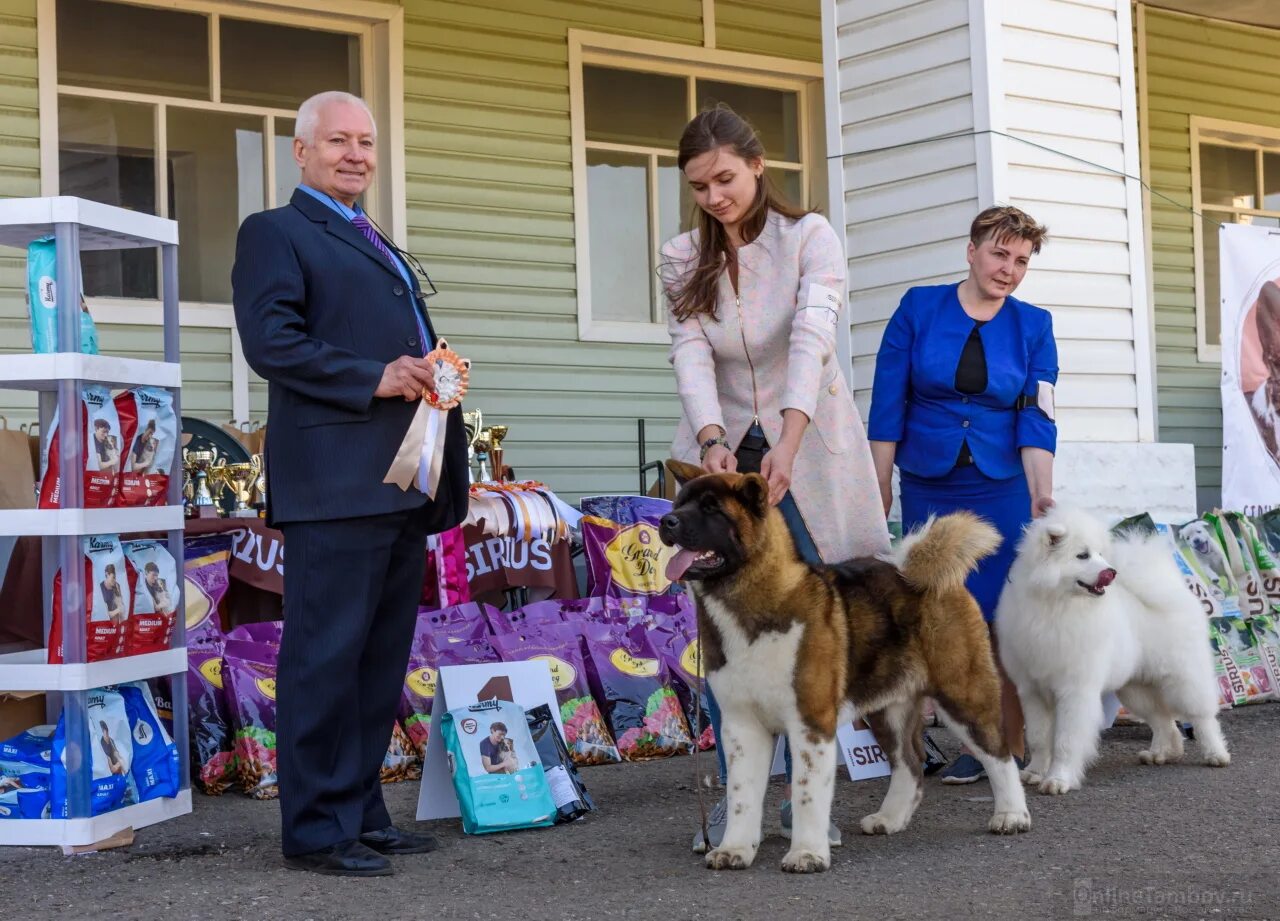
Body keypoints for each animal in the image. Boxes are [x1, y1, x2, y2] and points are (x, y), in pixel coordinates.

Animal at [660, 463, 1029, 874]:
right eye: (680, 503)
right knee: (910, 762)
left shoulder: (810, 721)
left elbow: (806, 792)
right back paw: (890, 818)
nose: (666, 521)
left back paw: (1011, 815)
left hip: (961, 692)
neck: (747, 597)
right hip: (888, 707)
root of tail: (921, 575)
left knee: (998, 753)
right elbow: (742, 794)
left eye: (711, 509)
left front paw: (807, 853)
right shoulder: (741, 725)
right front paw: (735, 849)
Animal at [993, 506, 1223, 793]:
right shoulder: (1032, 690)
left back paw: (1216, 754)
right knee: (1163, 719)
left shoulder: (1075, 691)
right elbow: (1037, 738)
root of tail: (1176, 591)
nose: (1111, 572)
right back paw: (1161, 754)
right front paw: (1035, 772)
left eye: (1100, 554)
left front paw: (1058, 780)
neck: (1055, 606)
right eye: (1082, 555)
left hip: (1183, 678)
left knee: (1202, 716)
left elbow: (1066, 741)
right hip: (1136, 689)